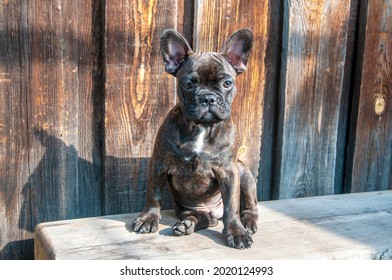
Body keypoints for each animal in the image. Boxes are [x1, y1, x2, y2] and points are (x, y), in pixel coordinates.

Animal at [133, 28, 258, 249]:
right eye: (189, 84)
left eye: (227, 83)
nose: (208, 98)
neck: (201, 127)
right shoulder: (158, 164)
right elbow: (153, 195)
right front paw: (148, 218)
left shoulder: (229, 171)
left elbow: (232, 206)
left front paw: (236, 232)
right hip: (186, 208)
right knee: (205, 218)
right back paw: (188, 224)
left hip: (243, 172)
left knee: (248, 205)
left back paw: (248, 222)